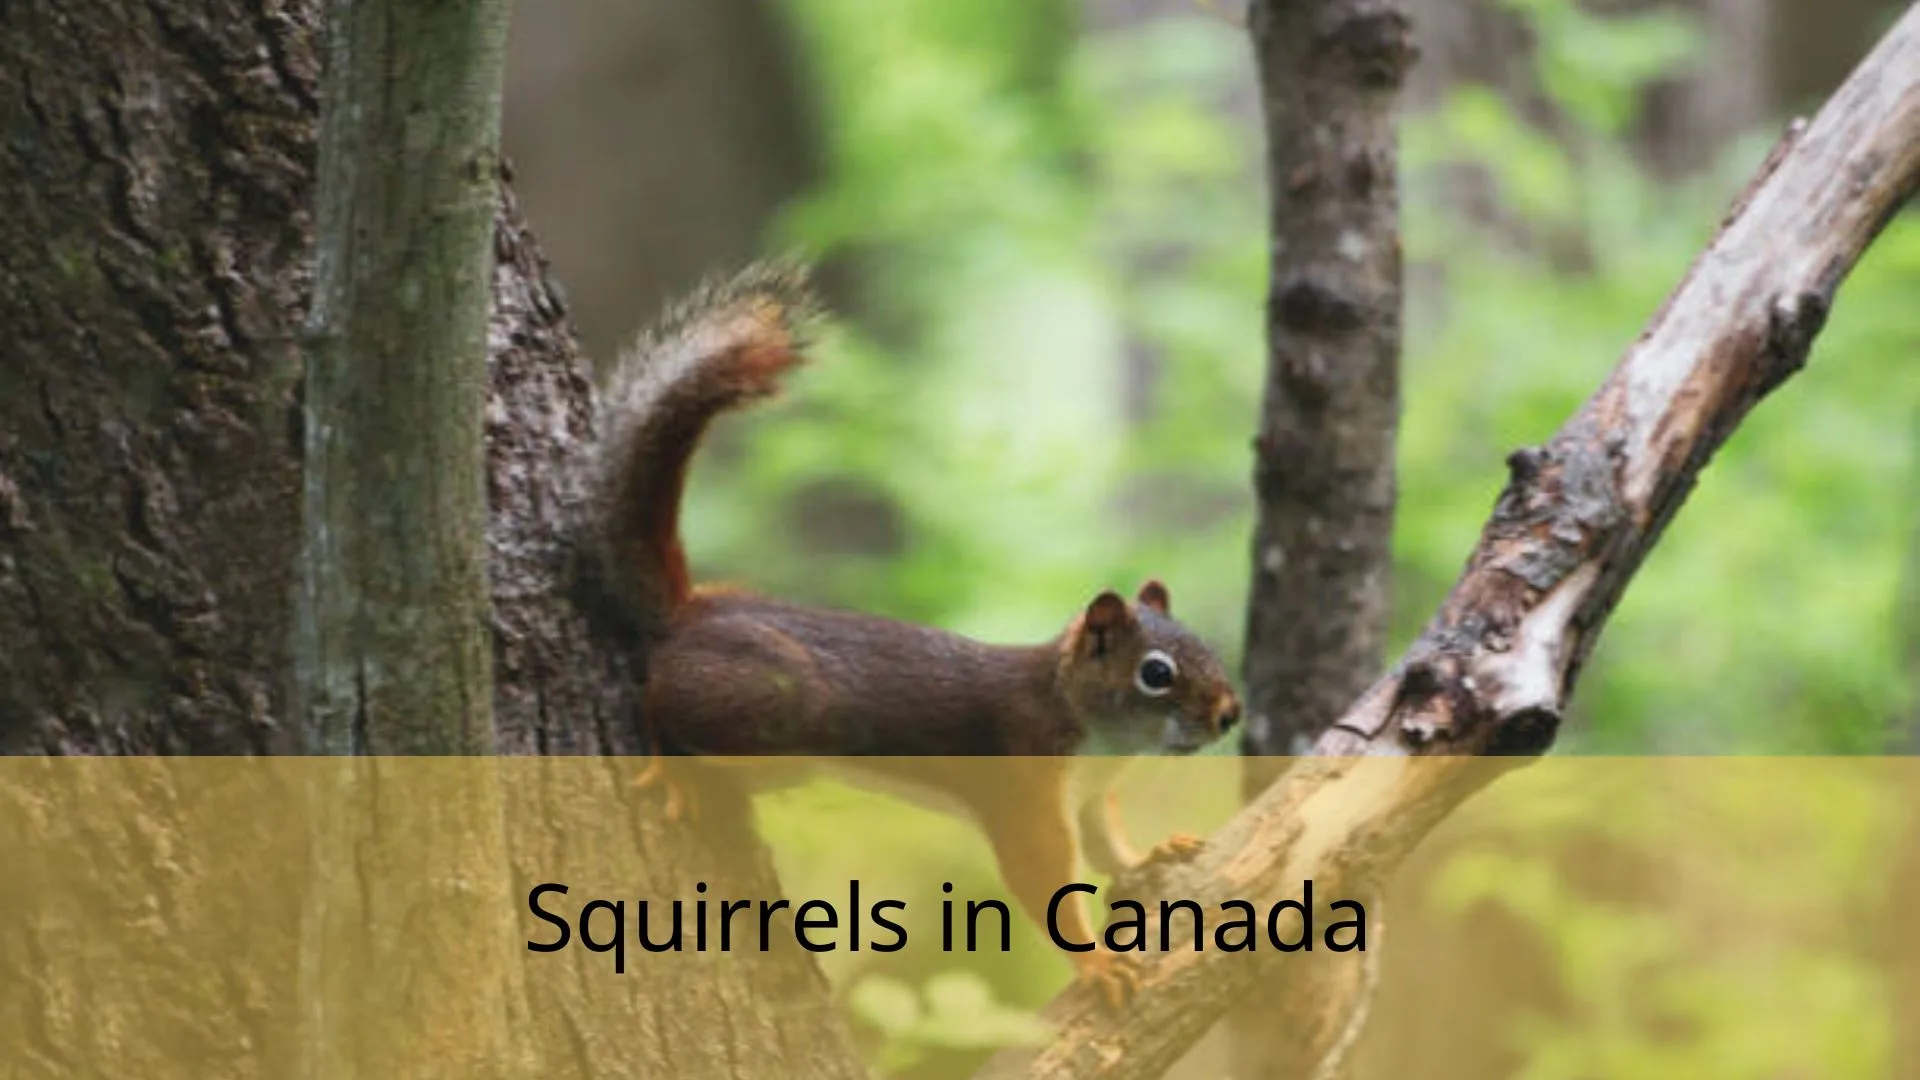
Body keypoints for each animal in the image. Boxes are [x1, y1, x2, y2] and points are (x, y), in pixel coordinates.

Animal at [588, 262, 1243, 1006]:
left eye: (1206, 645)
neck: (1096, 737)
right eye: (1156, 672)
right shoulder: (1025, 782)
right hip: (774, 711)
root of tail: (691, 615)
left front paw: (1152, 853)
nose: (1230, 713)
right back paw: (674, 764)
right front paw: (1098, 963)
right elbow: (1042, 874)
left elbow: (1110, 849)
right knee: (660, 703)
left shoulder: (1088, 800)